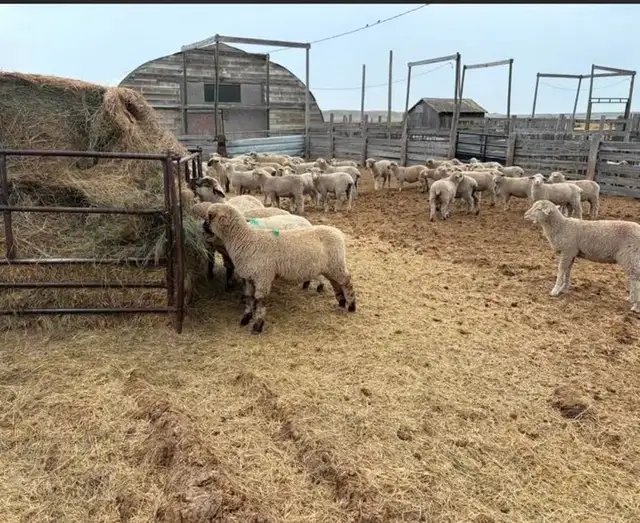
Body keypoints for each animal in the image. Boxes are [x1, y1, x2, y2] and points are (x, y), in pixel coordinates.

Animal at [205, 203, 357, 333]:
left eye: (210, 216)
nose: (202, 226)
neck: (246, 239)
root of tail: (337, 231)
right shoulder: (248, 276)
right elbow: (248, 298)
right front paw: (246, 318)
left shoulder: (263, 276)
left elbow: (260, 300)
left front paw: (258, 325)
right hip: (330, 267)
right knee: (336, 282)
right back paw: (341, 302)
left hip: (337, 263)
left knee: (347, 281)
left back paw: (351, 306)